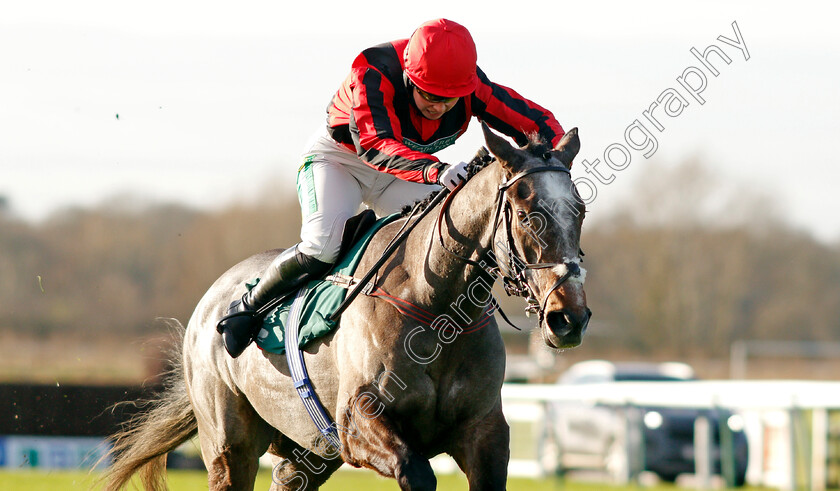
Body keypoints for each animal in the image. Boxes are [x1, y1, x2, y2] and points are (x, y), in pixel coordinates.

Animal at [101, 122, 588, 488]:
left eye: (580, 211)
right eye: (526, 215)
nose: (569, 318)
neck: (436, 307)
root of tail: (209, 303)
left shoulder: (485, 434)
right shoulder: (358, 424)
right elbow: (417, 472)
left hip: (308, 451)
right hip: (229, 446)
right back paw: (239, 320)